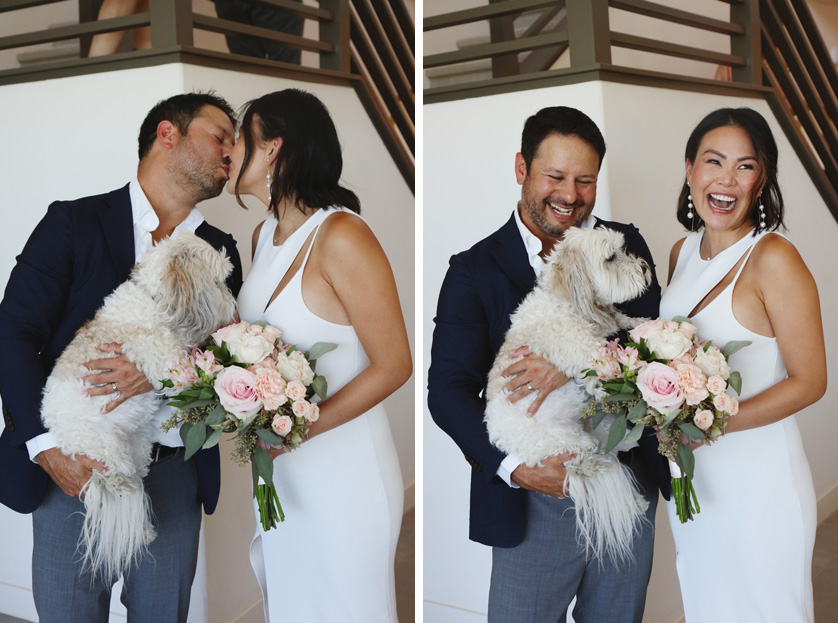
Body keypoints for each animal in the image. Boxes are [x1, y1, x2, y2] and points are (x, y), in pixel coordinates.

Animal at [39, 233, 236, 580]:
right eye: (220, 280)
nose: (234, 305)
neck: (155, 300)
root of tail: (60, 436)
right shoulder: (162, 355)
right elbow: (190, 365)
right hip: (105, 449)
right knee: (118, 483)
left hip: (139, 447)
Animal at [486, 227, 656, 564]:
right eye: (611, 258)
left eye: (623, 248)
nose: (645, 268)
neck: (568, 302)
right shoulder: (580, 345)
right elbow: (605, 357)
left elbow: (621, 320)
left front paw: (642, 324)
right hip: (566, 442)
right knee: (584, 461)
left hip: (597, 431)